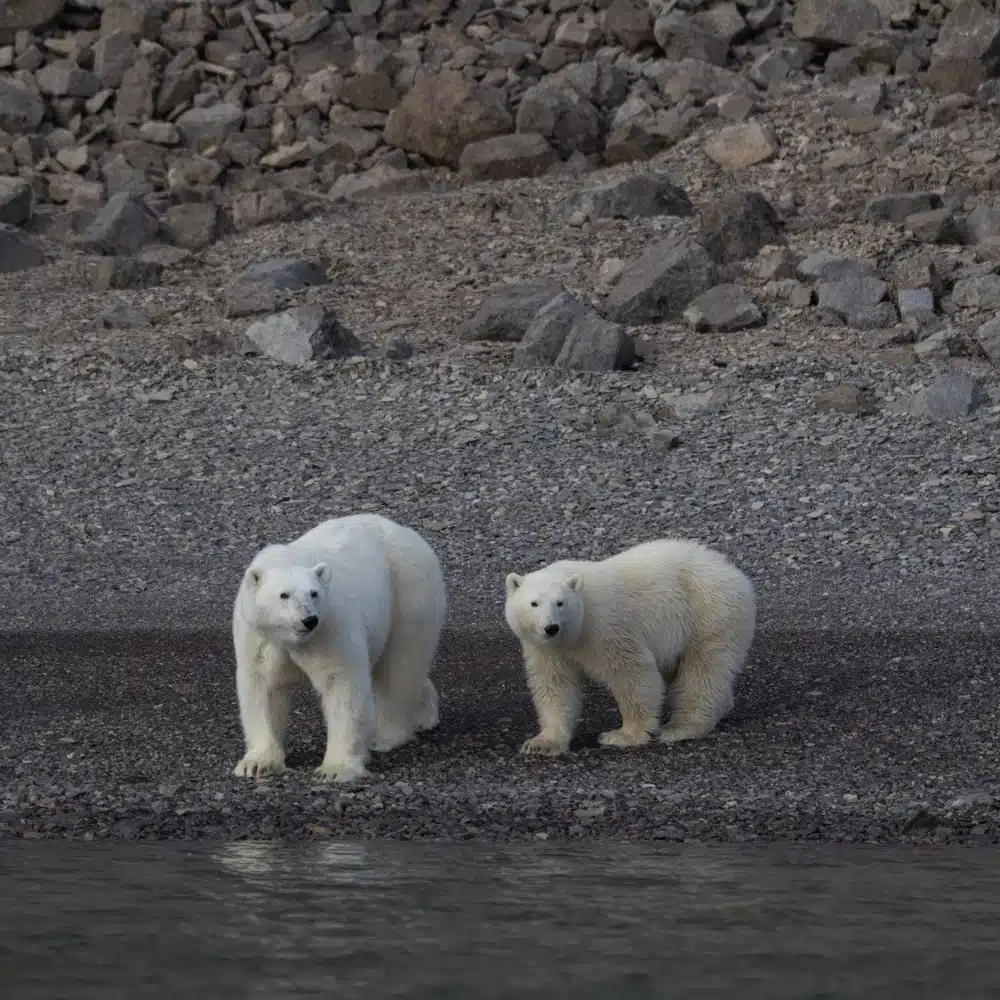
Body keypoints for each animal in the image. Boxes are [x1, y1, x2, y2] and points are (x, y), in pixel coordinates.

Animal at [232, 516, 448, 780]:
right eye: (284, 595)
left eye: (314, 593)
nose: (309, 619)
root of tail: (408, 533)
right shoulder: (259, 637)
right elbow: (263, 686)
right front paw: (257, 763)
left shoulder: (330, 626)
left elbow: (341, 682)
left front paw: (334, 770)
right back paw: (424, 715)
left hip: (408, 592)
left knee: (399, 668)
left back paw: (387, 736)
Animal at [504, 540, 752, 756]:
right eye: (534, 603)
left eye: (560, 603)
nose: (551, 627)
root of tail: (734, 572)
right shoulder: (545, 648)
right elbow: (555, 684)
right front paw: (542, 743)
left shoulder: (606, 626)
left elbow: (631, 672)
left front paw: (622, 735)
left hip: (708, 612)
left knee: (702, 670)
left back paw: (680, 727)